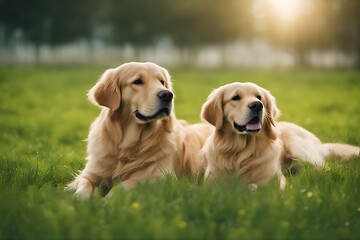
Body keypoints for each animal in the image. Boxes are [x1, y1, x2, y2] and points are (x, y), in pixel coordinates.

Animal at [67, 62, 214, 199]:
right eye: (137, 81)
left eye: (162, 82)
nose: (167, 94)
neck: (127, 146)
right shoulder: (90, 173)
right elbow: (84, 185)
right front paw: (79, 200)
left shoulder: (162, 178)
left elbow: (126, 184)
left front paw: (106, 200)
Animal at [201, 82, 358, 189]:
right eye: (235, 98)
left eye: (259, 97)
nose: (257, 105)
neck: (241, 154)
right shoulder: (211, 183)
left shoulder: (276, 182)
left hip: (298, 148)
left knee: (324, 169)